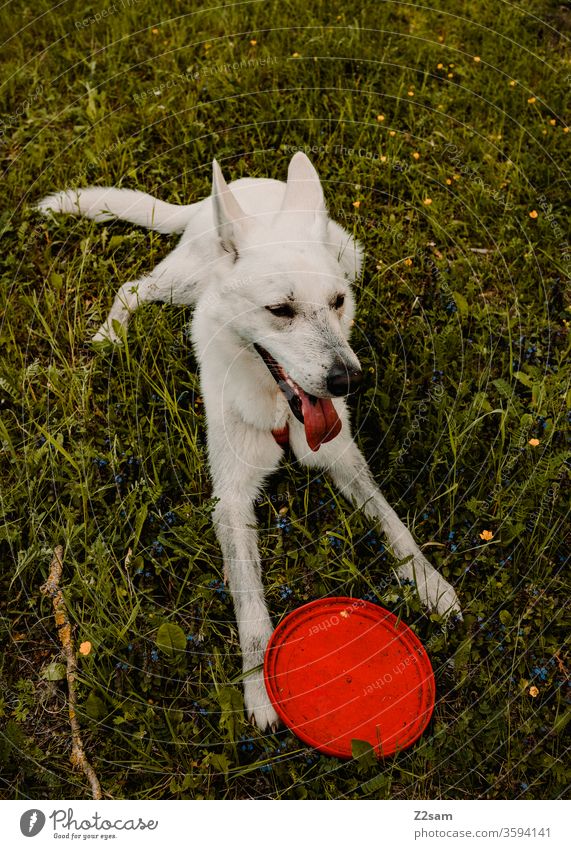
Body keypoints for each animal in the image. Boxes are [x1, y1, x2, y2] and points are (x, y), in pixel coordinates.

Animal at [39, 156, 460, 732]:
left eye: (337, 303)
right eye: (280, 310)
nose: (348, 381)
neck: (280, 409)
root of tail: (231, 193)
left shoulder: (345, 460)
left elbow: (393, 523)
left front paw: (430, 583)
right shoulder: (231, 501)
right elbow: (252, 608)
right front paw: (259, 688)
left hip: (348, 252)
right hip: (183, 283)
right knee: (134, 287)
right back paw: (110, 334)